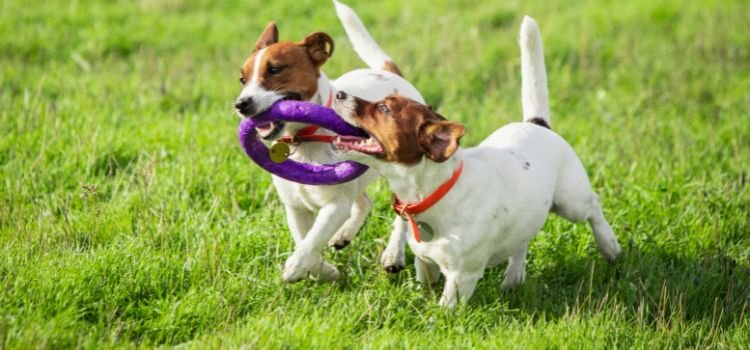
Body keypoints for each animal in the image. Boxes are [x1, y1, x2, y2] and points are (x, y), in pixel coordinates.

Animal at [235, 0, 424, 282]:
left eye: (275, 69)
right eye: (242, 79)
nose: (241, 104)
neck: (304, 138)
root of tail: (389, 74)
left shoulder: (335, 205)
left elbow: (312, 240)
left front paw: (296, 267)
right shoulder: (295, 207)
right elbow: (305, 240)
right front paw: (323, 270)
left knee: (402, 214)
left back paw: (393, 255)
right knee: (364, 202)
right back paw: (343, 236)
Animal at [334, 16, 624, 306]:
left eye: (384, 109)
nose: (338, 94)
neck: (436, 193)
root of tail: (537, 123)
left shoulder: (461, 277)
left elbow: (444, 307)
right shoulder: (426, 264)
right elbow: (427, 283)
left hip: (570, 202)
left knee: (593, 206)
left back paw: (609, 246)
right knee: (522, 242)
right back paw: (513, 279)